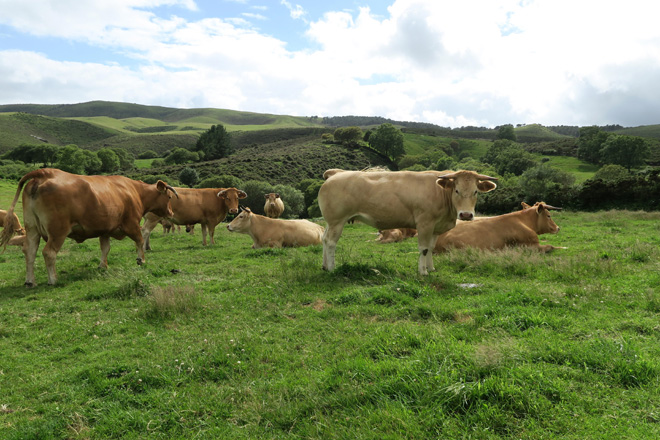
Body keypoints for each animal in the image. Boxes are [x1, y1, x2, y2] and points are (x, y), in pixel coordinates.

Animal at [0, 168, 178, 286]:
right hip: (58, 231)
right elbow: (140, 241)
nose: (171, 212)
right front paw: (141, 259)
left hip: (32, 229)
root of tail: (43, 173)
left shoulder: (105, 230)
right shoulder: (132, 224)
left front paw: (103, 265)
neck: (134, 191)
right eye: (169, 197)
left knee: (29, 252)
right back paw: (53, 279)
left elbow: (105, 248)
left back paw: (30, 281)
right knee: (49, 253)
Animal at [318, 169, 497, 275]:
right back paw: (332, 268)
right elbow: (423, 248)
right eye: (457, 190)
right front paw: (423, 272)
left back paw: (325, 266)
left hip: (330, 222)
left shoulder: (435, 227)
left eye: (475, 191)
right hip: (337, 221)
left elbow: (431, 248)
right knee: (331, 242)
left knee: (324, 239)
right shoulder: (425, 223)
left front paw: (431, 268)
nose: (466, 215)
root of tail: (336, 173)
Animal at [434, 202, 564, 253]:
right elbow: (550, 246)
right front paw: (563, 247)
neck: (523, 221)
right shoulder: (530, 246)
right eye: (549, 215)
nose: (558, 228)